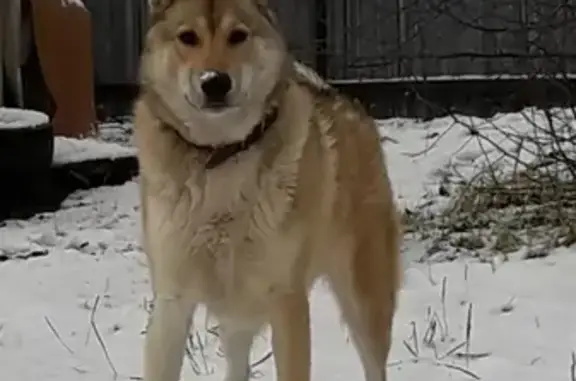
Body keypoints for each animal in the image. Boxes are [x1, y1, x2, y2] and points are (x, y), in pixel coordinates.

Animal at [134, 0, 404, 380]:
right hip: (236, 314)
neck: (221, 155)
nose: (214, 82)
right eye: (188, 37)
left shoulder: (286, 299)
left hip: (366, 298)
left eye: (238, 35)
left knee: (374, 363)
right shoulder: (171, 302)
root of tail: (342, 98)